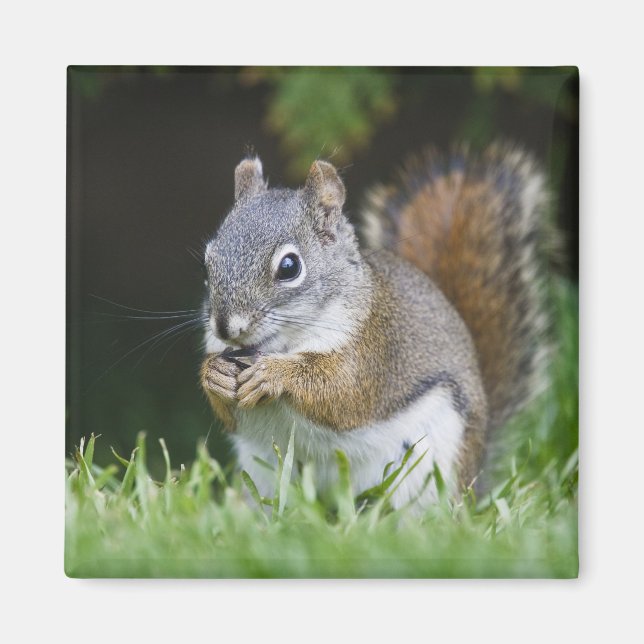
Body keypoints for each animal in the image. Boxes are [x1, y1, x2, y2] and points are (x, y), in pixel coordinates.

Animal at [200, 143, 548, 509]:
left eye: (289, 267)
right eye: (208, 263)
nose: (225, 328)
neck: (282, 344)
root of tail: (476, 478)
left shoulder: (373, 352)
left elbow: (342, 393)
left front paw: (274, 374)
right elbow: (229, 414)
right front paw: (215, 375)